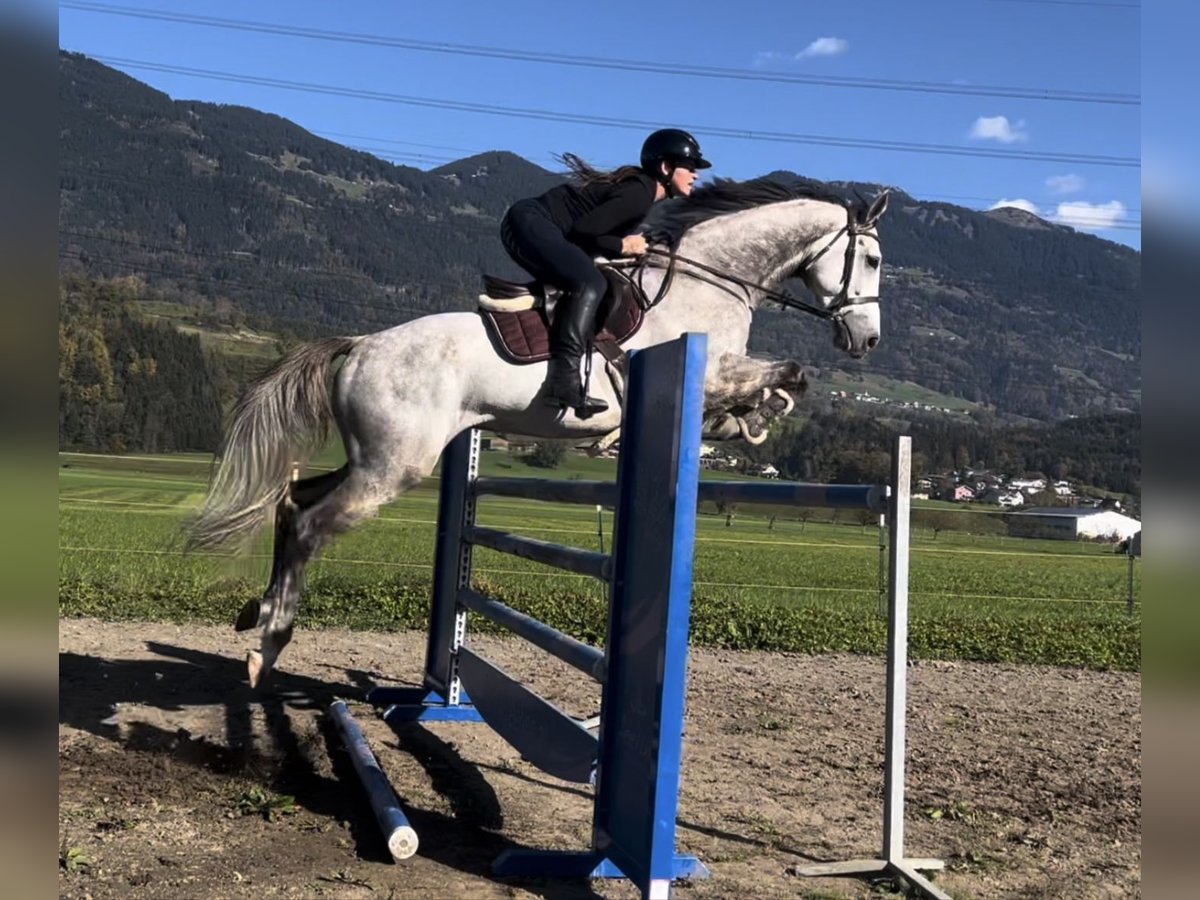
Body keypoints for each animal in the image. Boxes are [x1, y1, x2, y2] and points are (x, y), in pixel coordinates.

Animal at [189, 176, 892, 686]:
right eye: (873, 258)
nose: (866, 341)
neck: (712, 279)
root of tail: (360, 345)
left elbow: (773, 388)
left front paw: (745, 423)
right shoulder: (711, 367)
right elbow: (791, 373)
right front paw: (756, 415)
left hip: (372, 457)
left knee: (292, 503)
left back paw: (256, 614)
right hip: (394, 465)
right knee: (311, 525)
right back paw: (269, 643)